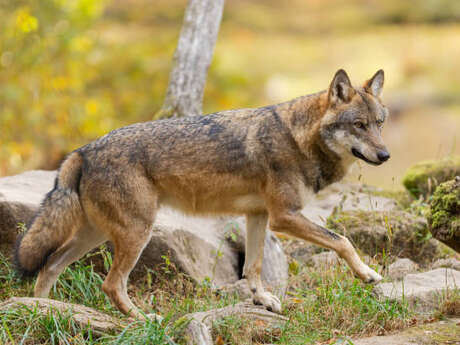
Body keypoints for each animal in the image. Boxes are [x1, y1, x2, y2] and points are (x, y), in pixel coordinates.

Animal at [15, 68, 388, 316]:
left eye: (380, 123)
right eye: (359, 125)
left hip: (96, 235)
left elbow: (253, 267)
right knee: (110, 284)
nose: (385, 155)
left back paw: (41, 308)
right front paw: (368, 274)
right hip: (136, 233)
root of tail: (84, 150)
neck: (300, 138)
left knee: (50, 265)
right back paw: (140, 320)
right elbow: (343, 241)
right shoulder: (284, 217)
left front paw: (261, 300)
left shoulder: (259, 215)